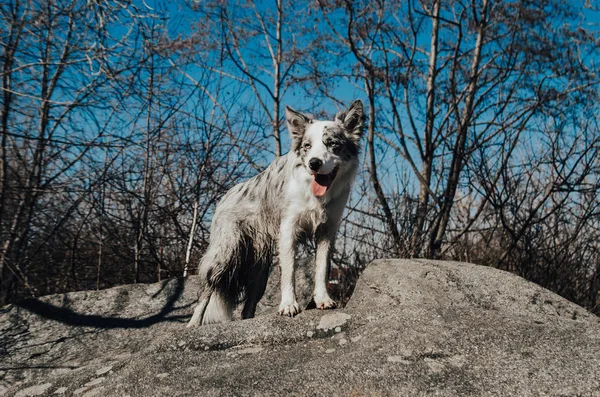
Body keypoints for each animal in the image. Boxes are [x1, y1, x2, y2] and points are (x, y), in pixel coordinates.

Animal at [188, 99, 366, 324]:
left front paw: (323, 299)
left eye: (332, 143)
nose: (314, 163)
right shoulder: (289, 229)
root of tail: (225, 196)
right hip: (225, 255)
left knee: (248, 307)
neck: (314, 194)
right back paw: (193, 324)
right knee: (207, 292)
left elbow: (322, 268)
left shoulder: (327, 230)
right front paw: (288, 305)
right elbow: (289, 271)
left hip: (259, 273)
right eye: (307, 146)